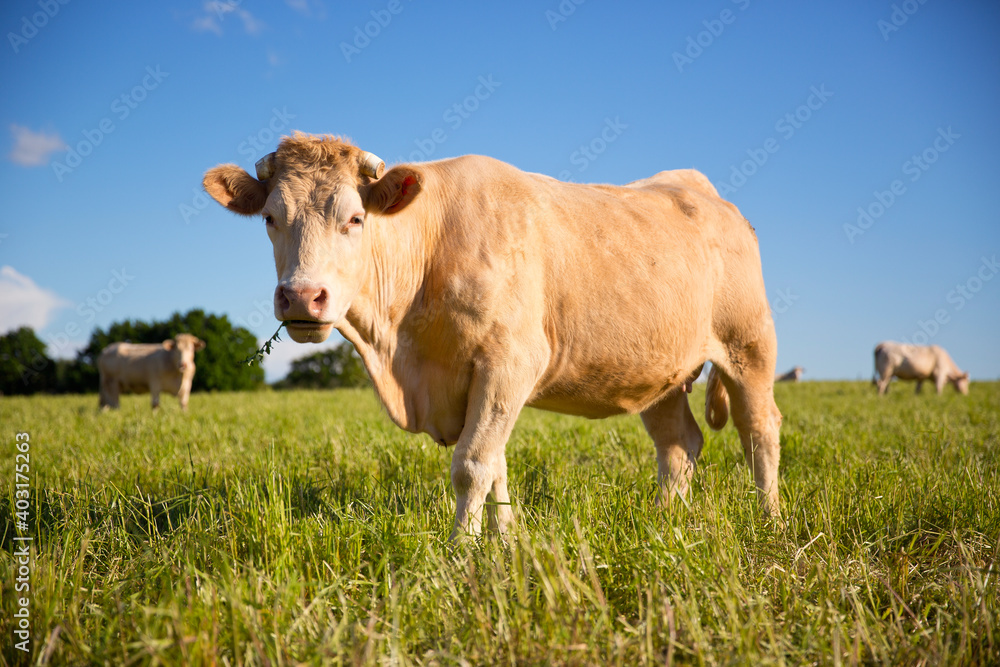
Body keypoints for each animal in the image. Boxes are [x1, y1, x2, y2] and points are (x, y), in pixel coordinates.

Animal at [201, 133, 780, 540]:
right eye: (270, 217)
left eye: (356, 218)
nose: (302, 297)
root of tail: (704, 192)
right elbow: (497, 464)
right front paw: (504, 539)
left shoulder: (510, 362)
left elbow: (473, 465)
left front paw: (460, 550)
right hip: (660, 371)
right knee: (679, 445)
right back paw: (665, 523)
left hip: (748, 345)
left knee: (759, 431)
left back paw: (769, 521)